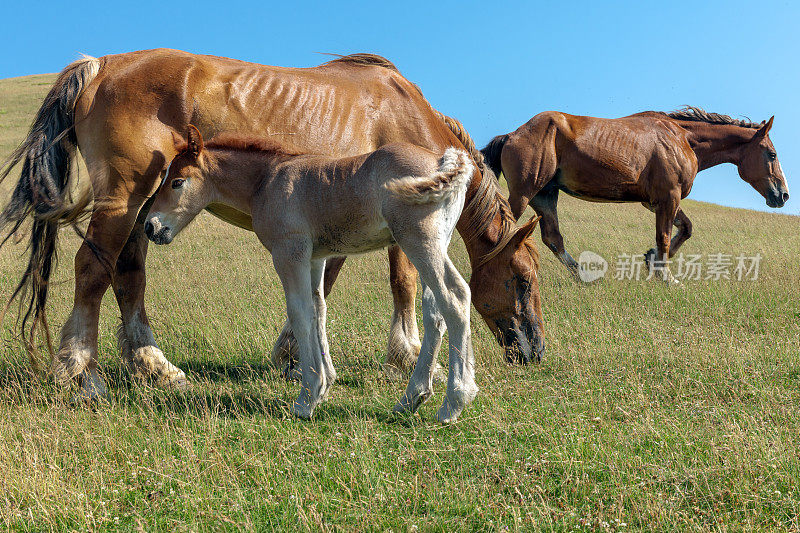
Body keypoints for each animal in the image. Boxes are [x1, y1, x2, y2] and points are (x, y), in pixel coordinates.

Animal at [145, 127, 476, 422]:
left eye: (177, 182)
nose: (151, 226)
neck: (266, 181)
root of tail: (444, 160)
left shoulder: (289, 253)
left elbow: (300, 312)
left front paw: (307, 398)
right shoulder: (316, 259)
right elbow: (319, 311)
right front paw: (325, 383)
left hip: (418, 240)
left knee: (455, 297)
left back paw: (454, 402)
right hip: (437, 243)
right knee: (435, 311)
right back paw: (411, 398)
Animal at [482, 108, 788, 282]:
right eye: (772, 154)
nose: (783, 195)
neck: (681, 139)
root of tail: (511, 135)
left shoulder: (657, 202)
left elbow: (685, 229)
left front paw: (652, 260)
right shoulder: (669, 198)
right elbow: (664, 236)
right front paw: (666, 276)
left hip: (544, 196)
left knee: (553, 239)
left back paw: (582, 275)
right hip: (523, 194)